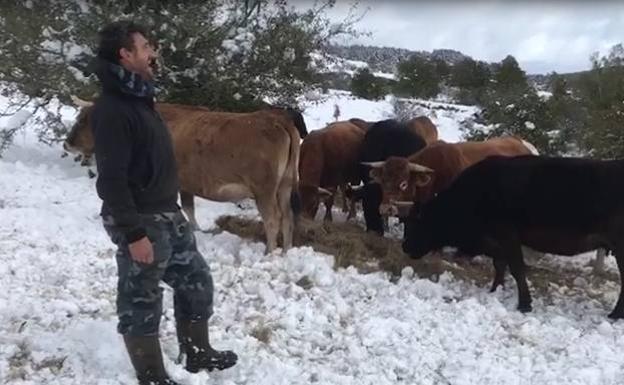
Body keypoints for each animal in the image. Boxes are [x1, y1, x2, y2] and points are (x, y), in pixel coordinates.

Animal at [63, 97, 300, 252]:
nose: (67, 143)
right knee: (288, 216)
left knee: (273, 219)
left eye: (83, 119)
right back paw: (287, 250)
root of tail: (276, 119)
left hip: (264, 190)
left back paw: (270, 253)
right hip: (285, 184)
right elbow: (189, 208)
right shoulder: (186, 184)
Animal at [400, 154, 624, 318]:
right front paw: (495, 290)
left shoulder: (507, 234)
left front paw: (524, 304)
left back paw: (615, 314)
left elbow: (516, 267)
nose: (405, 246)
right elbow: (500, 263)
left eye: (417, 223)